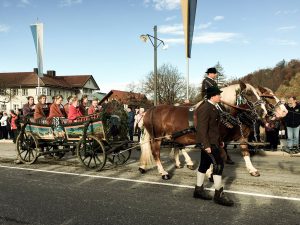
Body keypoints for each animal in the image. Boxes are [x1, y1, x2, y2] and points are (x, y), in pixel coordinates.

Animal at [139, 82, 268, 179]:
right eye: (249, 94)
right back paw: (163, 172)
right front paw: (210, 173)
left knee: (177, 146)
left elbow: (245, 152)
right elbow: (215, 155)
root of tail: (150, 110)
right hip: (157, 138)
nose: (264, 112)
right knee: (156, 153)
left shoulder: (241, 137)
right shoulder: (215, 140)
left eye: (258, 94)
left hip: (175, 136)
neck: (222, 112)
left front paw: (252, 169)